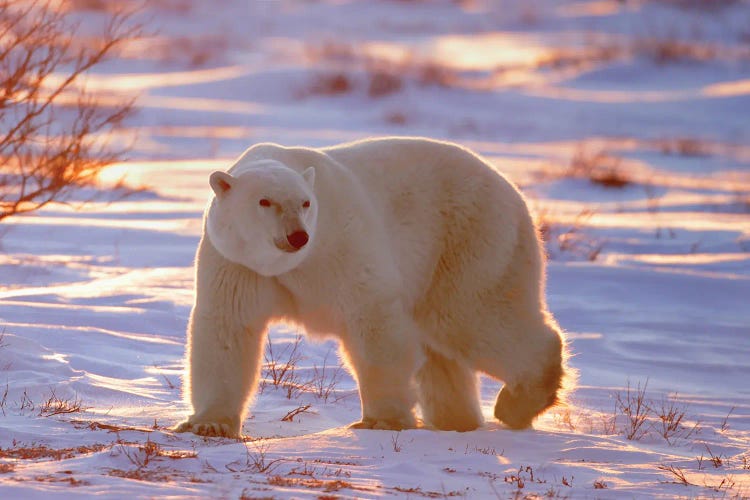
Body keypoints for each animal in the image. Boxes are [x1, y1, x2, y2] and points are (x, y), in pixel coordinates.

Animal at [175, 137, 568, 438]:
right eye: (264, 201)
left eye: (305, 202)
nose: (297, 236)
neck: (289, 264)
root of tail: (512, 190)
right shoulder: (238, 265)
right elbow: (228, 329)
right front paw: (208, 424)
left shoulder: (341, 242)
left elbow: (372, 316)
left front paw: (382, 420)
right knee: (443, 345)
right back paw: (457, 420)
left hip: (469, 238)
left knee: (474, 313)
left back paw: (517, 403)